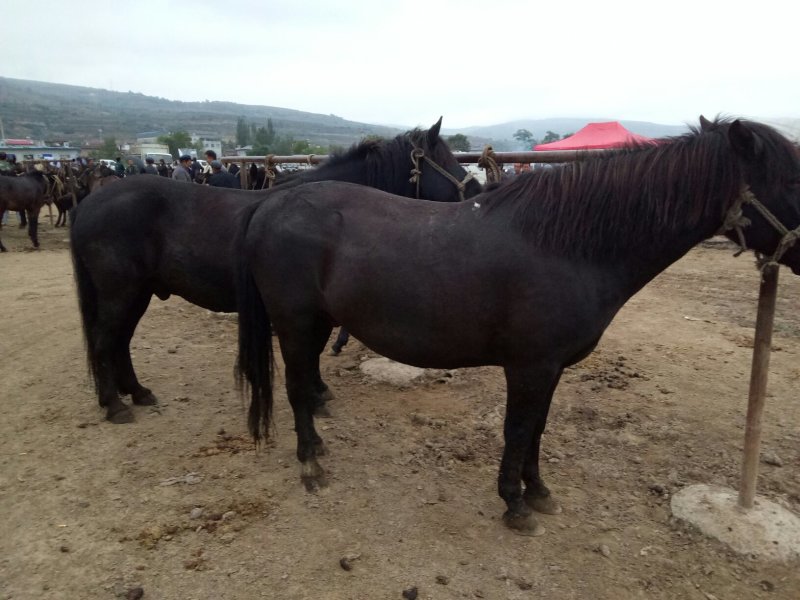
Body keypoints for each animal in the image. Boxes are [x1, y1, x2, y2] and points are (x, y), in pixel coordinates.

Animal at [71, 118, 482, 424]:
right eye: (446, 159)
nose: (479, 188)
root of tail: (90, 203)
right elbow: (311, 351)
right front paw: (315, 397)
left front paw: (317, 391)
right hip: (121, 292)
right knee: (106, 341)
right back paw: (114, 405)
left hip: (137, 293)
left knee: (120, 341)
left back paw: (137, 393)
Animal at [235, 117, 800, 535]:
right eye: (792, 179)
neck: (568, 245)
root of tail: (270, 204)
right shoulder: (529, 366)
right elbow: (519, 429)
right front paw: (514, 503)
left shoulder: (550, 368)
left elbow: (538, 429)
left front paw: (540, 492)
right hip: (296, 325)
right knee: (296, 389)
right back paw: (311, 465)